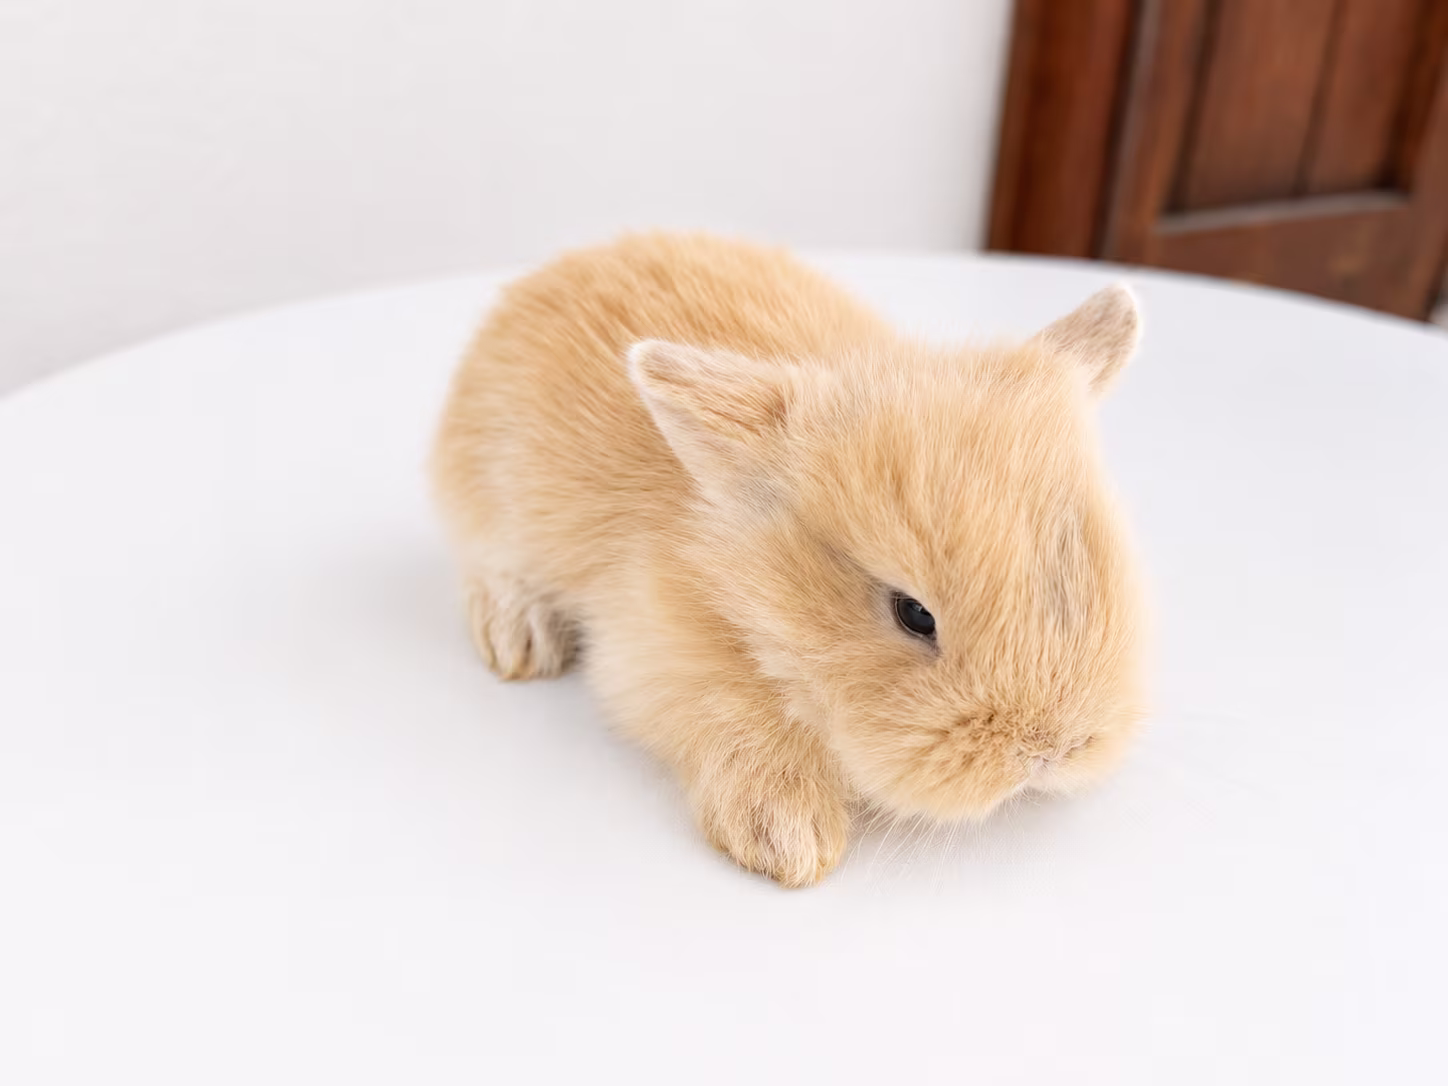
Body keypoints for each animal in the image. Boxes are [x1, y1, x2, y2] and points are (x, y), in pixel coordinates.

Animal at [431, 232, 1145, 886]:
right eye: (913, 614)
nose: (1050, 751)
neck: (745, 583)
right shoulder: (659, 660)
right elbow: (736, 719)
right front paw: (789, 839)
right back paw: (520, 640)